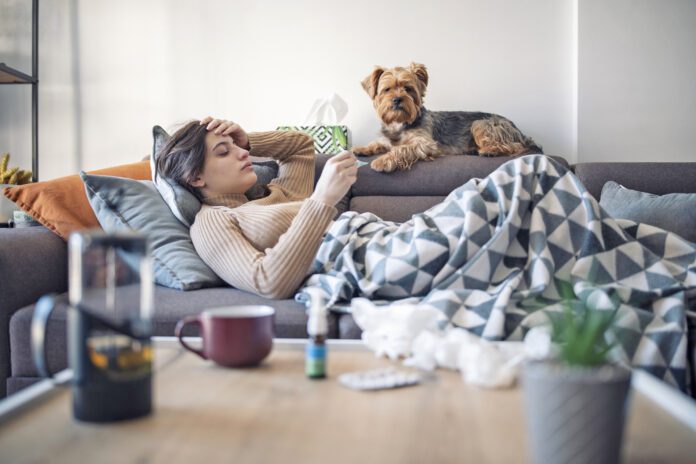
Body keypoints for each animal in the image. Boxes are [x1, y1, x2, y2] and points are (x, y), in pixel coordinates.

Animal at [354, 63, 544, 172]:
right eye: (387, 90)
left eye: (408, 89)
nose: (397, 99)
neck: (400, 123)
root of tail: (517, 129)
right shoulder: (387, 139)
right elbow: (378, 143)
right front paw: (361, 148)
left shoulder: (425, 144)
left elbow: (401, 149)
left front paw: (382, 161)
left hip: (482, 124)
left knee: (515, 146)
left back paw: (489, 150)